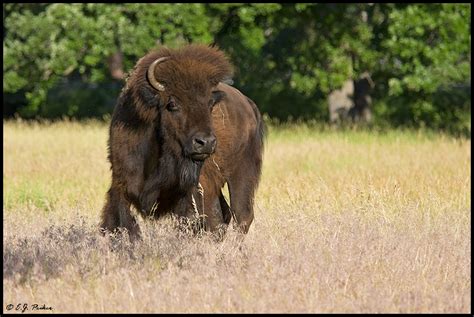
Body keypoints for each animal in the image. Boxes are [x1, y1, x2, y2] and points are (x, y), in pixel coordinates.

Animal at [100, 44, 264, 239]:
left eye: (210, 103)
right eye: (172, 104)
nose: (206, 142)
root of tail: (248, 104)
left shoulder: (194, 192)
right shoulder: (121, 184)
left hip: (242, 172)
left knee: (241, 215)